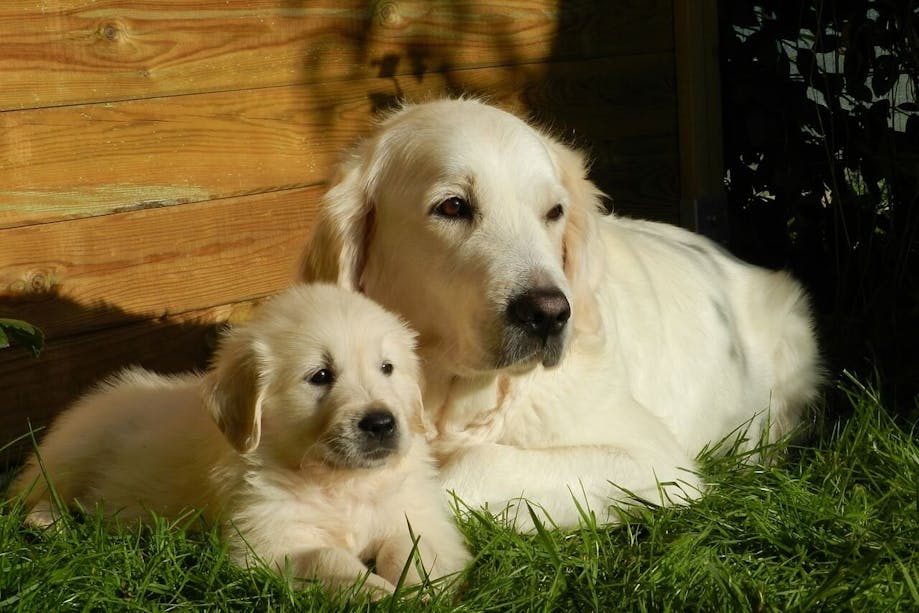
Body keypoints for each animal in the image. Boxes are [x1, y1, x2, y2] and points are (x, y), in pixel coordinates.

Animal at [12, 284, 474, 596]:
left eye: (387, 368)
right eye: (321, 376)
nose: (380, 423)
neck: (338, 482)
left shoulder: (418, 515)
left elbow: (413, 549)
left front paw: (419, 592)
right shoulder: (266, 542)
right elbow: (328, 558)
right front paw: (381, 594)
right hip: (73, 447)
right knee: (31, 492)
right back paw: (48, 521)